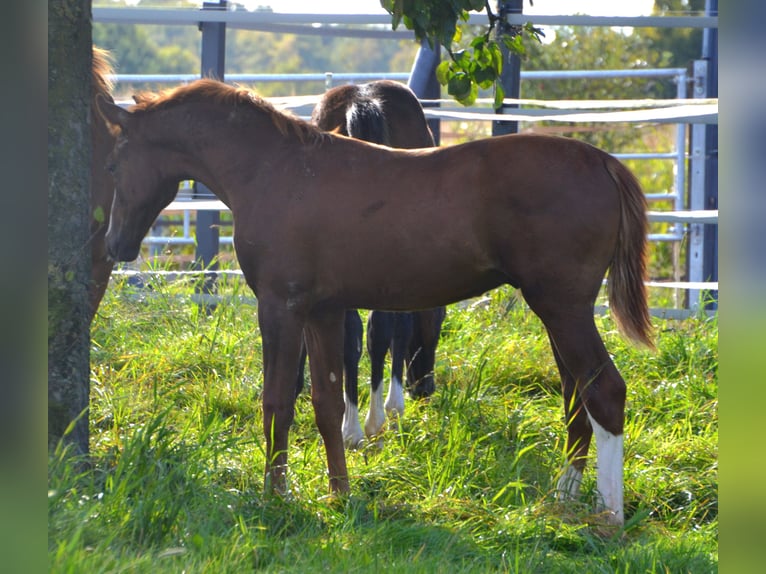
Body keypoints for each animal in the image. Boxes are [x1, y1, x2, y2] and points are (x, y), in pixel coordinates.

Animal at [308, 80, 448, 450]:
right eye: (440, 318)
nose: (424, 388)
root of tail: (361, 99)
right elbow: (398, 328)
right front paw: (392, 406)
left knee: (353, 335)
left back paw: (352, 426)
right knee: (377, 328)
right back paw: (371, 421)